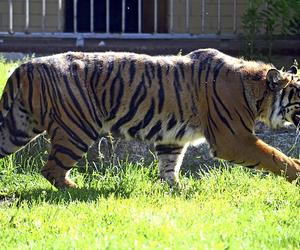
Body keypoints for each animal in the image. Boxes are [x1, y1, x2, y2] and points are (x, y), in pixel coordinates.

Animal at [0, 48, 300, 188]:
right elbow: (273, 155)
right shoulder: (233, 138)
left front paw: (175, 189)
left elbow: (169, 165)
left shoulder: (172, 138)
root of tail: (24, 66)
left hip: (18, 127)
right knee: (51, 169)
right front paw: (297, 173)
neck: (257, 91)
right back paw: (76, 189)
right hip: (76, 130)